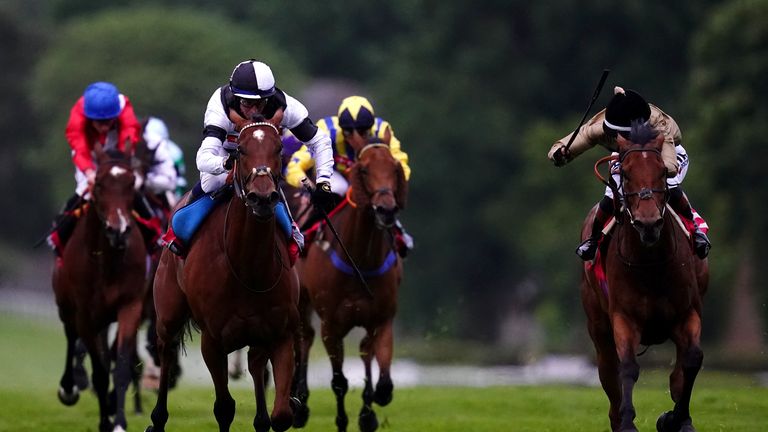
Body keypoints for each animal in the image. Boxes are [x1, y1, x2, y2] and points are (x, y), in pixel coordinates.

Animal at [52, 143, 148, 432]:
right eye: (99, 185)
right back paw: (69, 387)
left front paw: (118, 422)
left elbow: (121, 366)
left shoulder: (131, 305)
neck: (107, 260)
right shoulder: (84, 313)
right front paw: (105, 420)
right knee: (71, 337)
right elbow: (100, 372)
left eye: (132, 183)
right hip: (66, 306)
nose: (119, 230)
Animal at [146, 114, 302, 432]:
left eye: (279, 147)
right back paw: (156, 419)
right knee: (166, 350)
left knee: (255, 366)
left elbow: (281, 415)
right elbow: (224, 408)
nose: (262, 198)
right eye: (240, 150)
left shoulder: (279, 333)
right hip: (168, 313)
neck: (248, 268)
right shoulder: (213, 341)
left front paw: (286, 407)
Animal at [292, 143, 408, 432]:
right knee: (303, 337)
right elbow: (338, 382)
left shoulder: (381, 319)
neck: (360, 259)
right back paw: (298, 403)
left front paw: (368, 414)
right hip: (300, 302)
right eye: (364, 170)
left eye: (395, 168)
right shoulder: (331, 326)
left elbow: (383, 383)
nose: (386, 210)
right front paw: (342, 421)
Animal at [584, 121, 708, 432]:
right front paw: (628, 422)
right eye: (626, 174)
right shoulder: (624, 318)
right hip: (598, 324)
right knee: (608, 370)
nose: (649, 223)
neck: (652, 264)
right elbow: (627, 367)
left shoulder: (688, 313)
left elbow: (691, 361)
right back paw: (617, 419)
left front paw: (678, 419)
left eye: (662, 172)